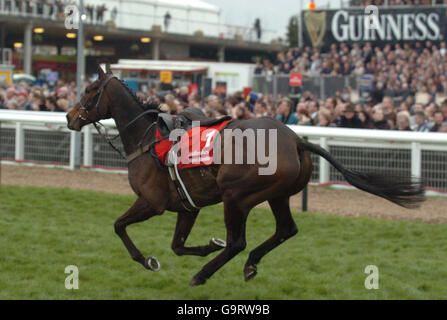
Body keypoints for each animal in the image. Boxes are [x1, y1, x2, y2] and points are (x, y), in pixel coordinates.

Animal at [65, 66, 426, 286]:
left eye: (90, 89)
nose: (69, 117)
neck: (146, 138)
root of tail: (296, 139)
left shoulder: (152, 202)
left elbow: (119, 226)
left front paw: (147, 260)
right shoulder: (187, 206)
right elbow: (178, 246)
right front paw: (207, 245)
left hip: (236, 195)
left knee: (239, 241)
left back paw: (203, 274)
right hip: (278, 194)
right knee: (286, 229)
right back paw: (250, 264)